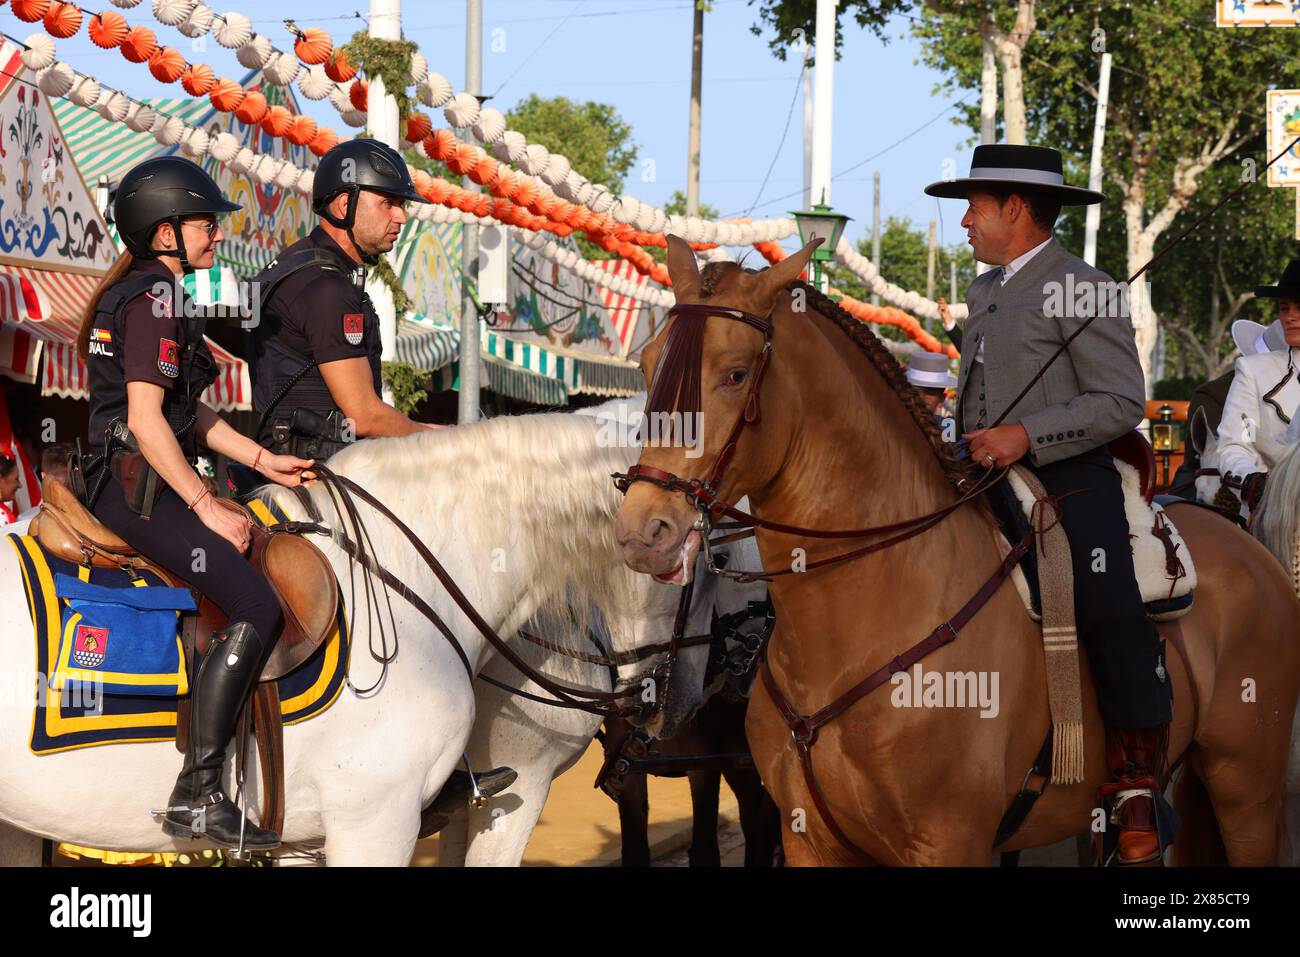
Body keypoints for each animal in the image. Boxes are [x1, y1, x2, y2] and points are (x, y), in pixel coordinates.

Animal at [616, 234, 1300, 868]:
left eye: (735, 374)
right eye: (647, 364)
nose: (644, 531)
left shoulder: (950, 842)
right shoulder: (809, 839)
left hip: (1246, 787)